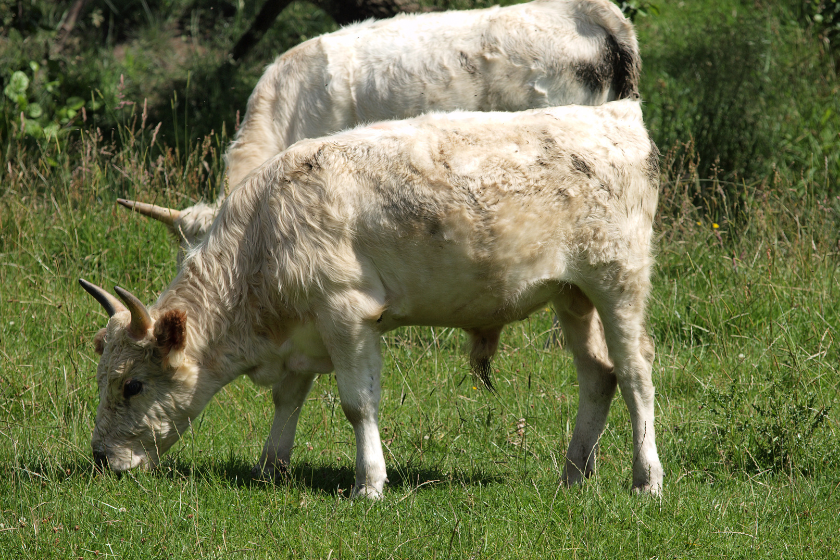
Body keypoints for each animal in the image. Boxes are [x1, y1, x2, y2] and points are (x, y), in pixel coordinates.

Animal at [82, 99, 668, 494]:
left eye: (133, 385)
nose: (100, 458)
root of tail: (617, 113)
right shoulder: (302, 331)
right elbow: (288, 399)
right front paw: (271, 468)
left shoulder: (345, 313)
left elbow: (356, 403)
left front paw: (368, 484)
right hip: (572, 294)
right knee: (598, 375)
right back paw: (572, 475)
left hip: (619, 280)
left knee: (635, 371)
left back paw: (646, 479)